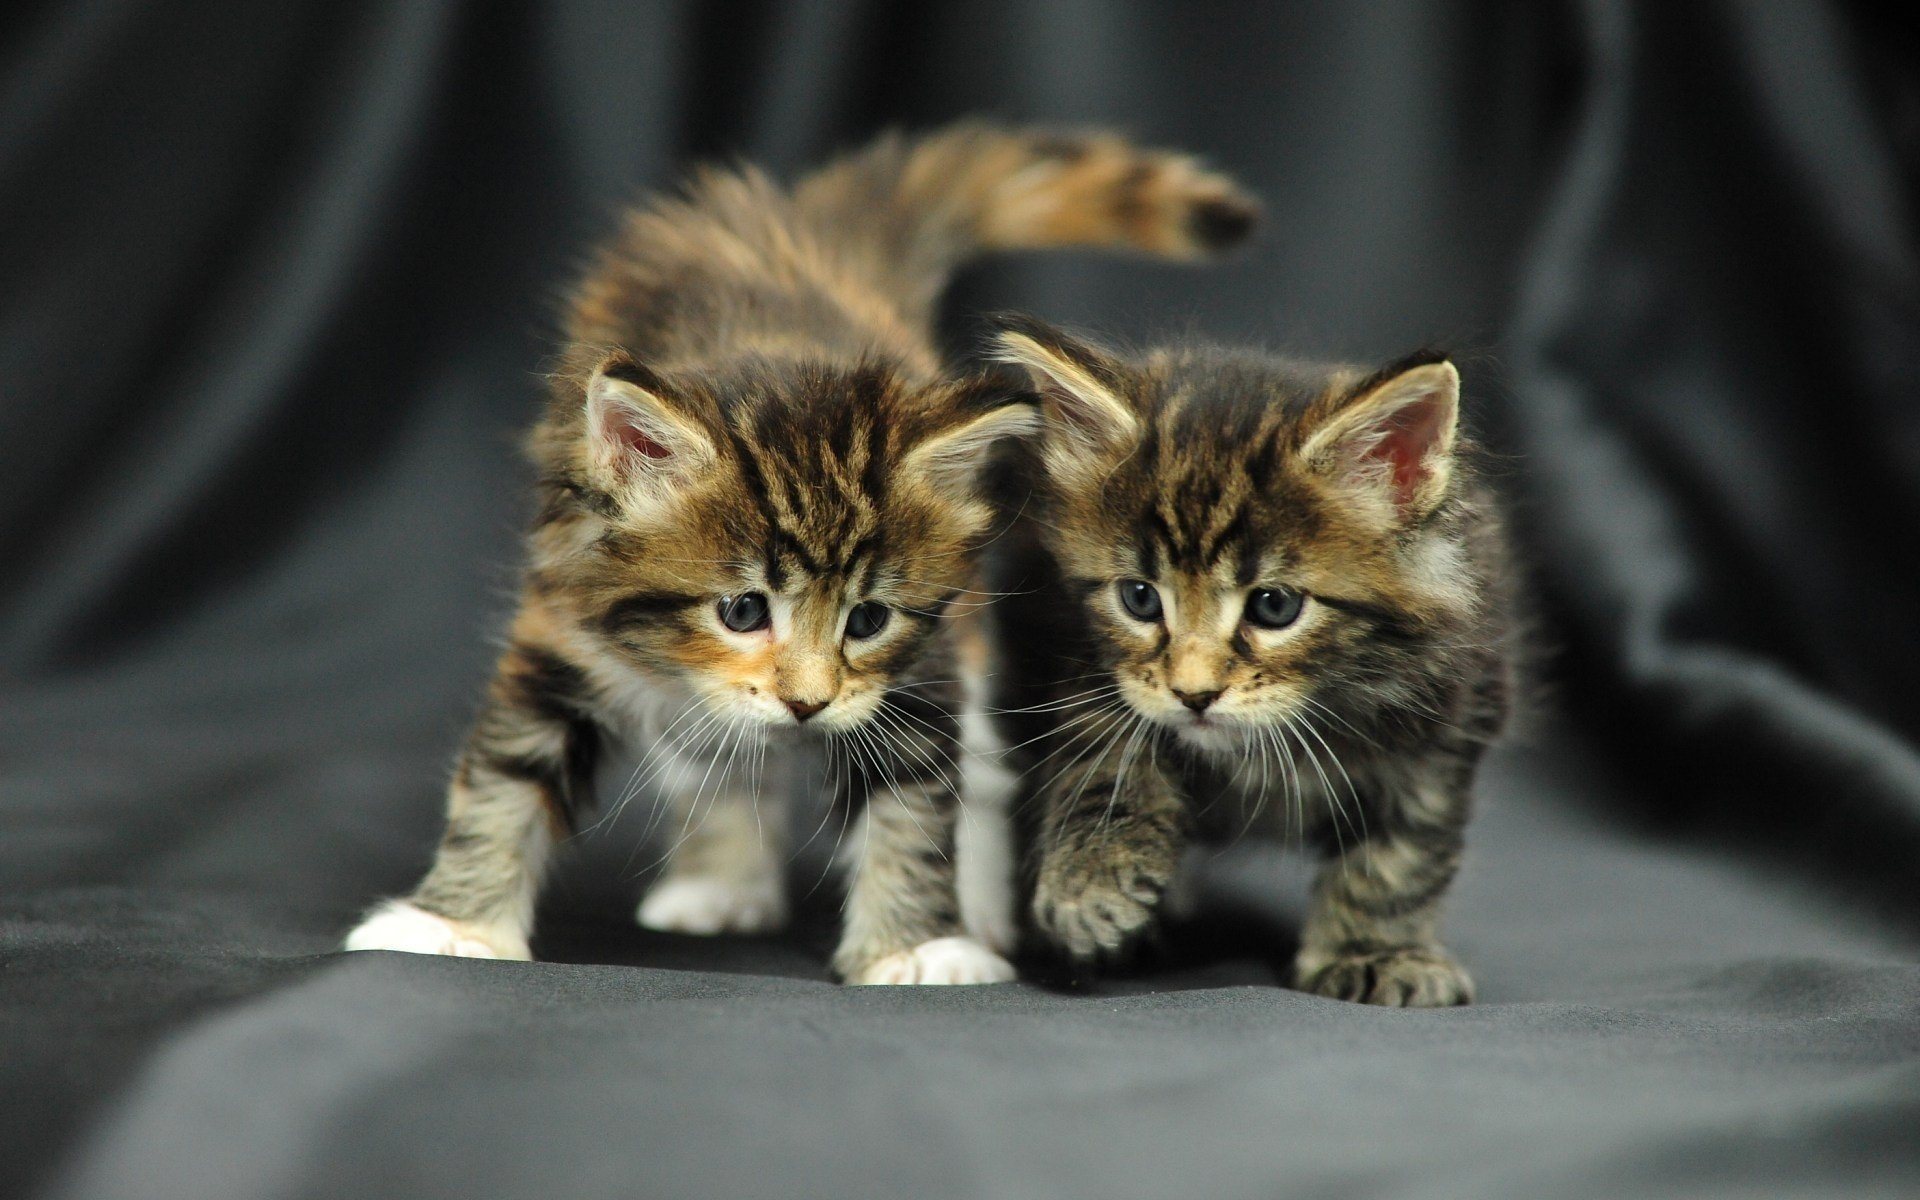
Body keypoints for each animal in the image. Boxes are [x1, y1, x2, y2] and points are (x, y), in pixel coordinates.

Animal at [343, 123, 1259, 983]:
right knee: (712, 756)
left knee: (984, 771)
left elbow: (914, 804)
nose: (807, 705)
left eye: (868, 619)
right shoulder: (562, 624)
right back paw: (718, 884)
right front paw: (450, 923)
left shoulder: (919, 668)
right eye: (744, 611)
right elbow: (506, 778)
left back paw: (981, 907)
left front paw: (915, 946)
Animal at [990, 316, 1512, 998]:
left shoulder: (1447, 722)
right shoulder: (1075, 648)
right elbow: (1105, 750)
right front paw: (1092, 876)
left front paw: (1374, 953)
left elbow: (1399, 856)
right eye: (1139, 598)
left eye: (1274, 606)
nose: (1194, 694)